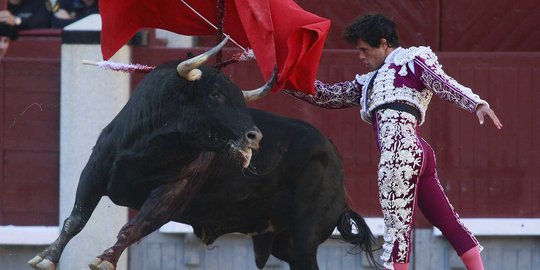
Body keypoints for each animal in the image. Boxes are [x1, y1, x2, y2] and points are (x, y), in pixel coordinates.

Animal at [28, 38, 376, 270]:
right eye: (216, 95)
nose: (254, 137)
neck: (149, 148)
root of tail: (336, 161)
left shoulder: (172, 194)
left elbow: (133, 226)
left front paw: (104, 259)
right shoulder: (95, 171)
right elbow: (75, 219)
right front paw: (46, 258)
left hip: (305, 237)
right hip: (283, 241)